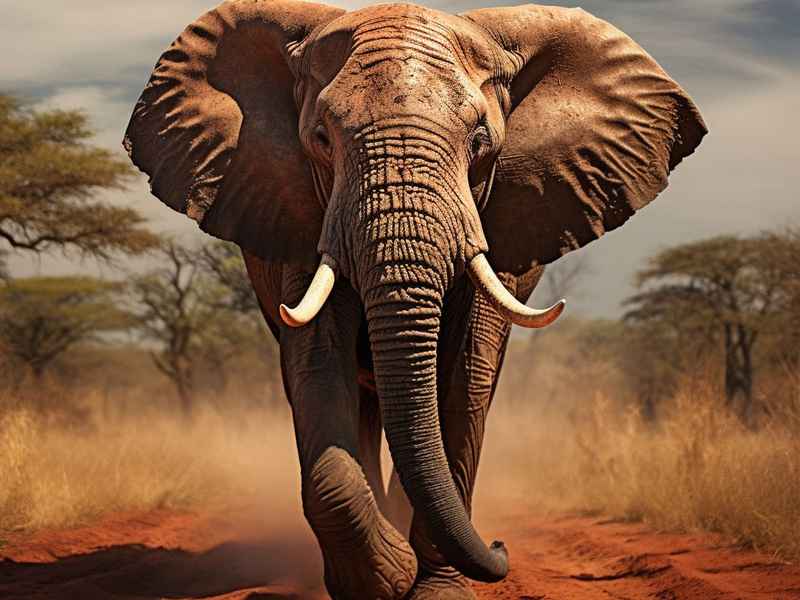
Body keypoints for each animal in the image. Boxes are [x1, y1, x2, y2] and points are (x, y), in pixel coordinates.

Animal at [123, 1, 706, 598]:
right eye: (321, 139)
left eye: (480, 143)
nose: (500, 548)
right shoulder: (301, 210)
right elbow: (317, 368)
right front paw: (385, 578)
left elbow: (465, 378)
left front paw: (436, 589)